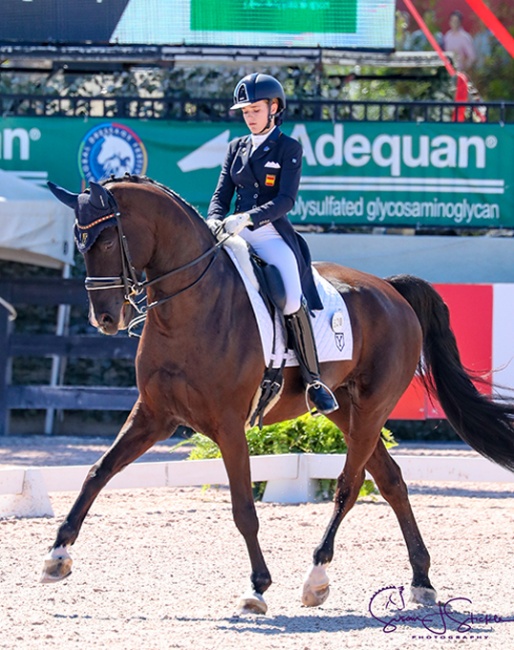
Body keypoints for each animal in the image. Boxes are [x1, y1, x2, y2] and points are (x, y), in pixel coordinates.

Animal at [43, 175, 512, 612]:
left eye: (107, 239)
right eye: (79, 243)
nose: (105, 319)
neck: (190, 308)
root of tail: (391, 290)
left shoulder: (229, 425)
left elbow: (243, 509)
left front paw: (257, 587)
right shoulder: (154, 416)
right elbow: (98, 472)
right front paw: (57, 555)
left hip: (372, 408)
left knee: (349, 484)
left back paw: (317, 577)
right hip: (343, 408)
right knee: (391, 480)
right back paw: (421, 581)